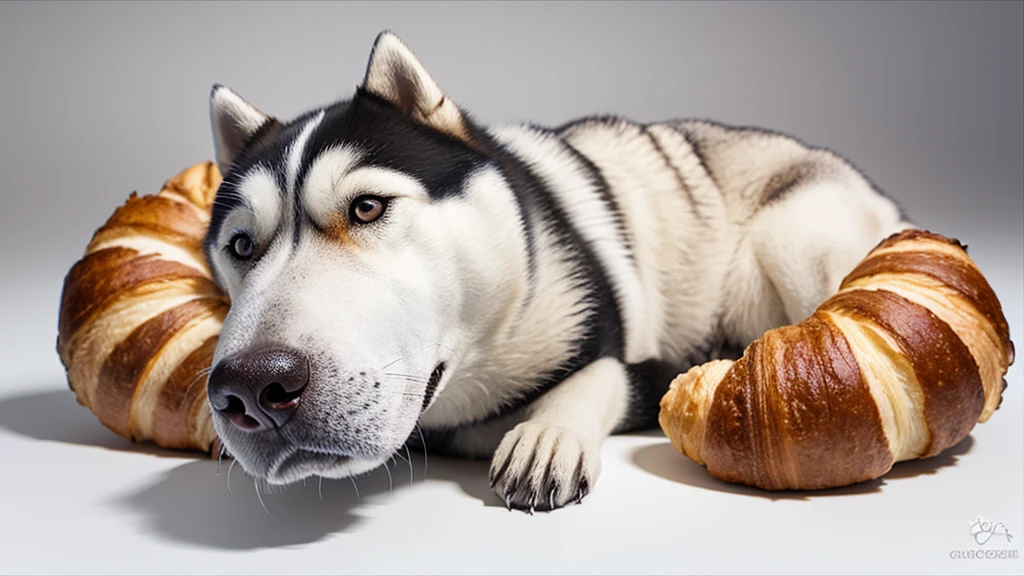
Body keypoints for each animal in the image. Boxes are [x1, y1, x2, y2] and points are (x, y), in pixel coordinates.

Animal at [203, 31, 909, 508]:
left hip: (796, 236)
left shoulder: (607, 340)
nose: (250, 389)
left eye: (368, 207)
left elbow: (595, 378)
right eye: (241, 247)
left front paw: (546, 434)